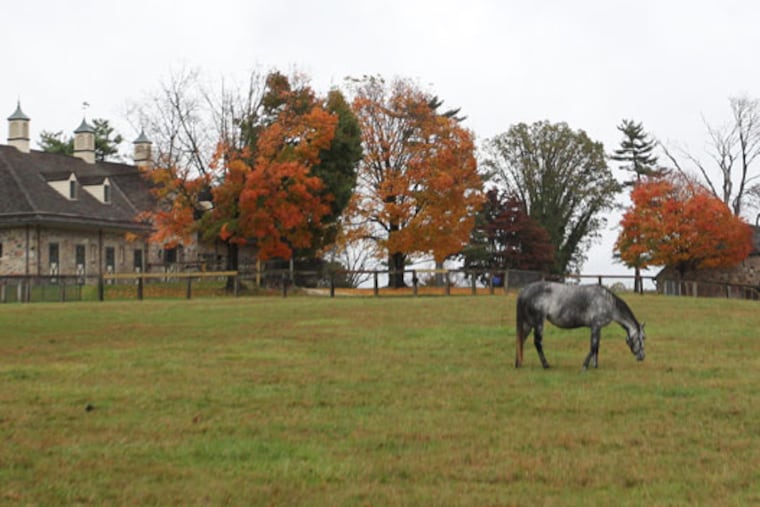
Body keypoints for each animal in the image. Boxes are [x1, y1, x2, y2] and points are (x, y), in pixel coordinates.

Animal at [515, 281, 646, 369]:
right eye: (642, 338)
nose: (642, 357)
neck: (607, 302)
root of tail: (525, 290)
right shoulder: (595, 326)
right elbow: (593, 346)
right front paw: (585, 366)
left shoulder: (598, 328)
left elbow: (597, 347)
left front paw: (595, 365)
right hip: (538, 323)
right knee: (537, 343)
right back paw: (545, 365)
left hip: (528, 323)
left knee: (521, 340)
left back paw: (518, 364)